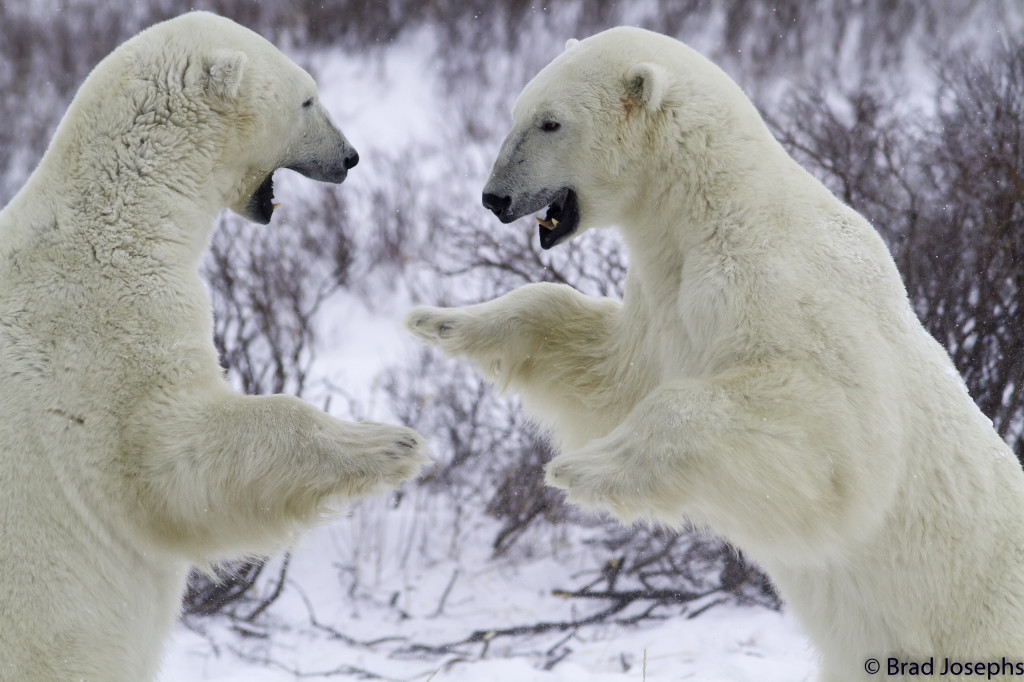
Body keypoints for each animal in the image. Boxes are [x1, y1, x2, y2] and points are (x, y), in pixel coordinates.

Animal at [0, 12, 426, 682]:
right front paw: (389, 442)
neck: (117, 221)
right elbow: (175, 461)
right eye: (308, 99)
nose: (350, 157)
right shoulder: (111, 334)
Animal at [406, 26, 1024, 681]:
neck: (712, 205)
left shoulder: (782, 287)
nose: (494, 198)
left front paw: (586, 468)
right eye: (515, 114)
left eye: (550, 122)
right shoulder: (665, 305)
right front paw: (445, 321)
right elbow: (610, 371)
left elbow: (836, 431)